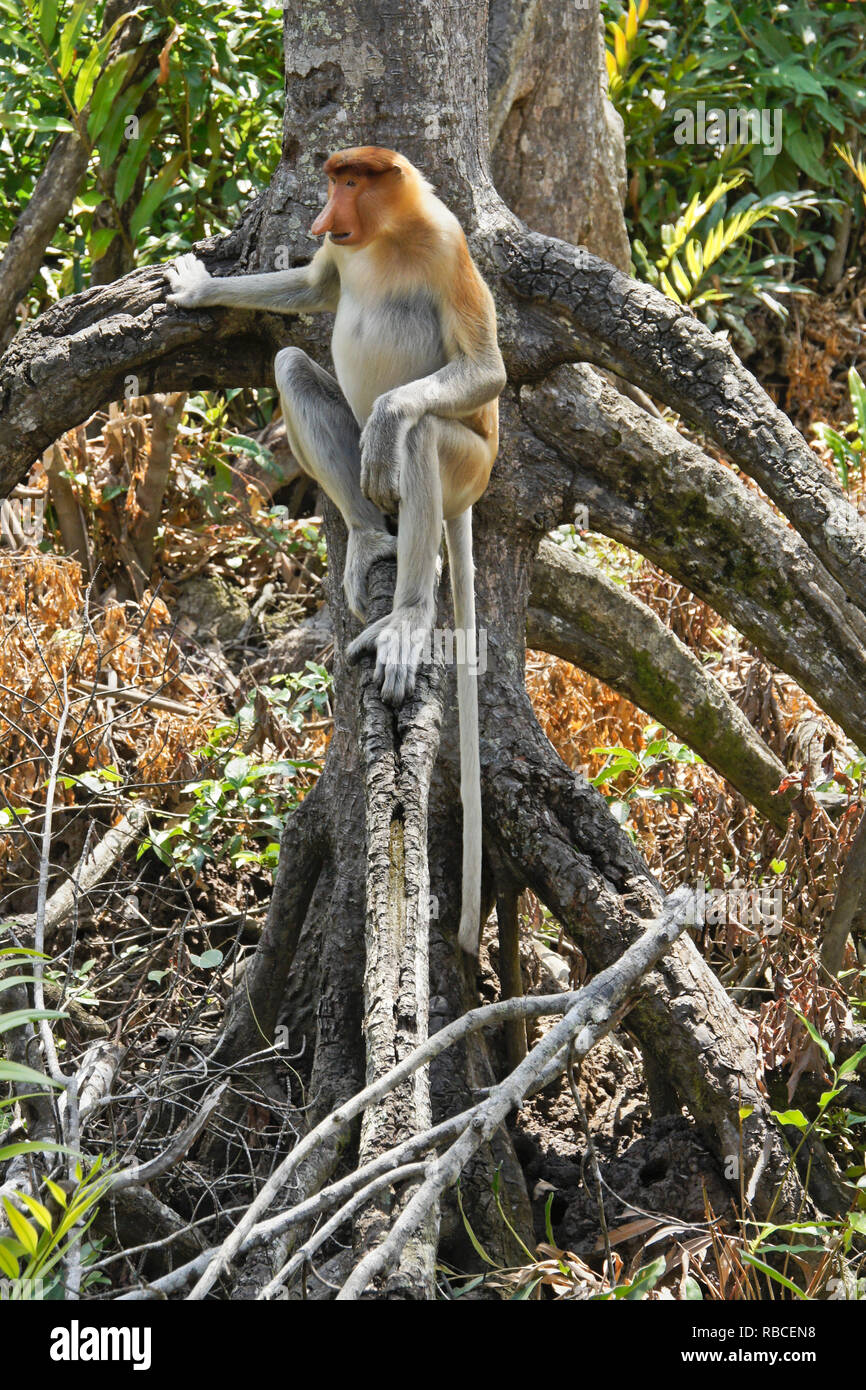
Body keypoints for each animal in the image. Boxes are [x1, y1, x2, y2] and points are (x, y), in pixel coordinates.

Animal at [165, 146, 505, 950]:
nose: (325, 216)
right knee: (292, 363)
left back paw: (408, 614)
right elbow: (318, 288)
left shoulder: (447, 244)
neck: (385, 237)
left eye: (352, 182)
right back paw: (369, 538)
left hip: (469, 466)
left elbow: (485, 370)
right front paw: (197, 286)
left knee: (418, 437)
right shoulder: (341, 261)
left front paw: (392, 407)